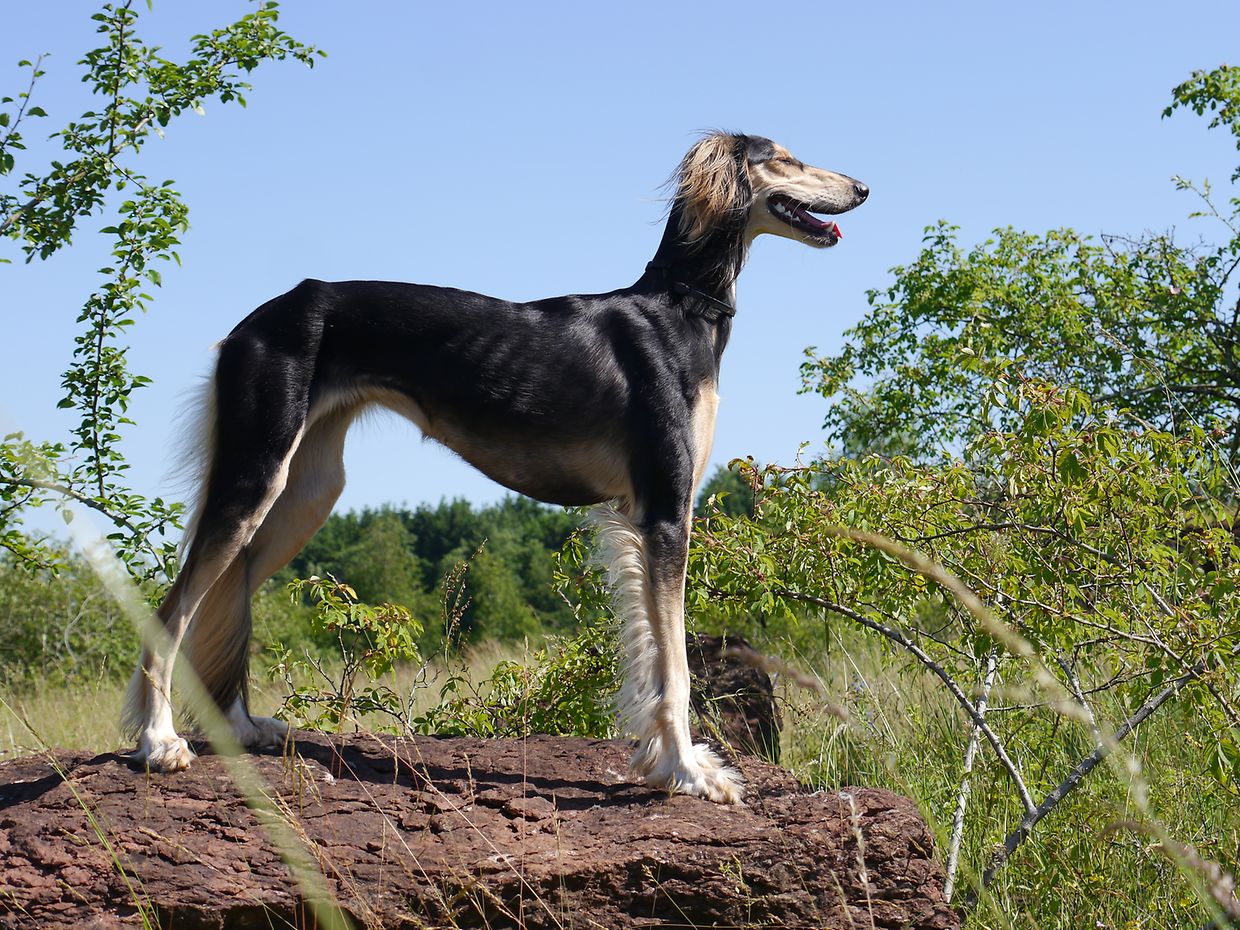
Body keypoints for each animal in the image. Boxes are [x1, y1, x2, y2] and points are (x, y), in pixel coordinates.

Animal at [124, 131, 868, 803]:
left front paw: (668, 763)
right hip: (255, 475)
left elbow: (654, 658)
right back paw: (159, 742)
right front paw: (689, 772)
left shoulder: (641, 515)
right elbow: (676, 666)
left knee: (231, 593)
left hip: (305, 490)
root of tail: (249, 324)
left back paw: (241, 725)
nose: (863, 188)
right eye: (784, 157)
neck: (678, 310)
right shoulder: (664, 510)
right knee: (174, 611)